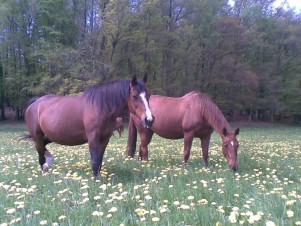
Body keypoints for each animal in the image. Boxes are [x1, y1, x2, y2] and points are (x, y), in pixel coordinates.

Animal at [20, 77, 155, 177]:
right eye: (134, 96)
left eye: (148, 96)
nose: (149, 119)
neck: (101, 107)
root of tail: (35, 103)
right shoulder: (92, 138)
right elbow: (95, 162)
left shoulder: (104, 139)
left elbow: (99, 161)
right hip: (37, 135)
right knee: (40, 155)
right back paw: (45, 170)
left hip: (51, 136)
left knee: (43, 146)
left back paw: (48, 163)